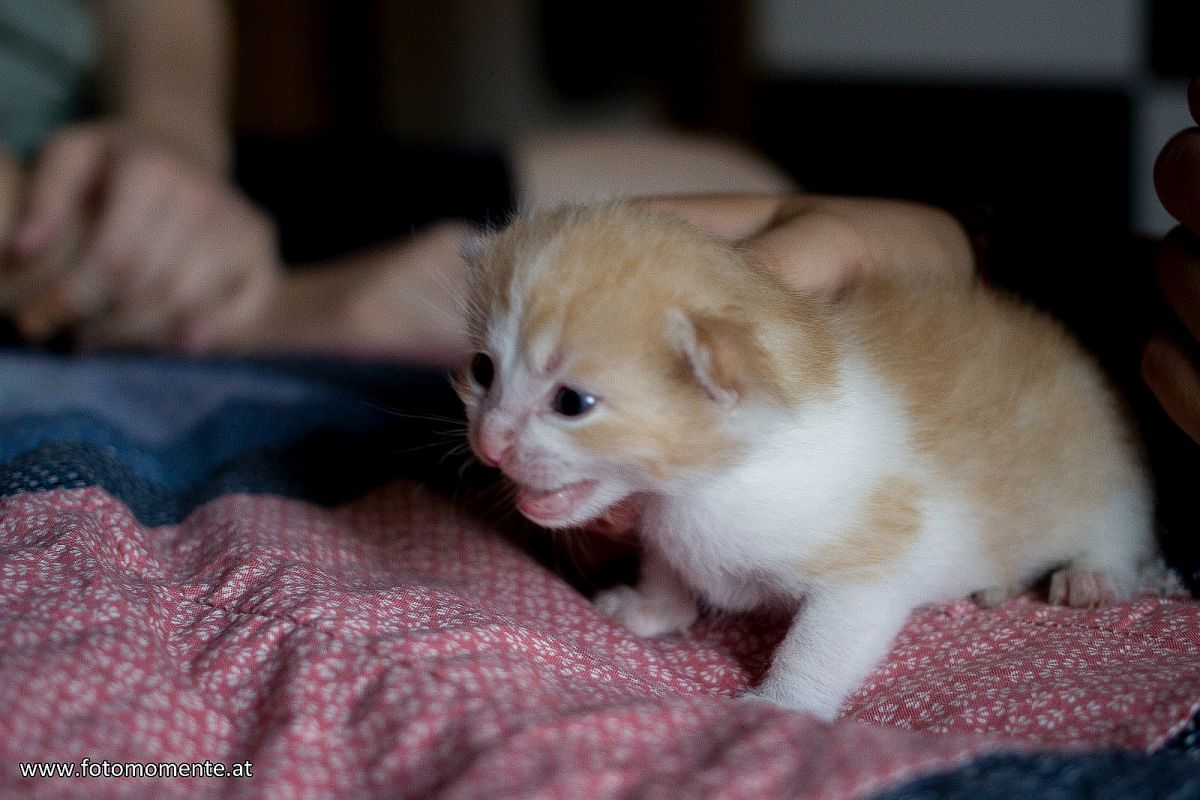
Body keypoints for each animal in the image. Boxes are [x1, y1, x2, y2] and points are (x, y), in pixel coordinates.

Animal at [456, 205, 1152, 719]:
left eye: (572, 403)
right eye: (482, 370)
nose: (487, 443)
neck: (718, 482)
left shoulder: (868, 566)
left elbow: (820, 643)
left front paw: (783, 704)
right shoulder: (664, 519)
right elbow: (666, 565)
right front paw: (653, 610)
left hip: (1099, 472)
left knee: (1120, 521)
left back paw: (1094, 574)